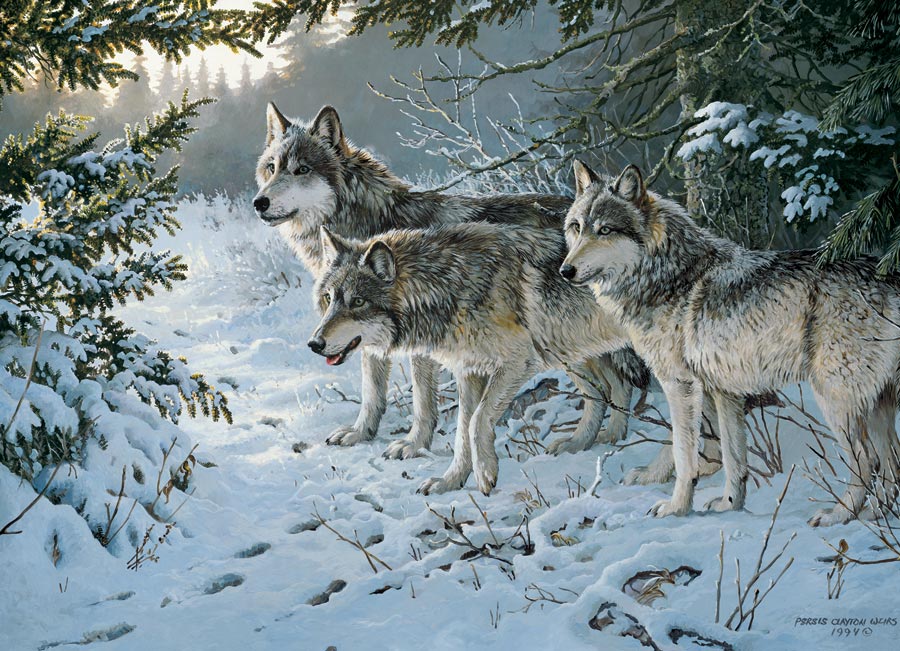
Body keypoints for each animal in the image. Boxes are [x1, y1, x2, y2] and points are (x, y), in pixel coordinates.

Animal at [253, 103, 641, 458]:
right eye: (272, 168)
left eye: (301, 170)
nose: (259, 202)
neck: (376, 224)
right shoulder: (369, 335)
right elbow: (372, 392)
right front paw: (361, 434)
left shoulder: (420, 343)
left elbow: (422, 401)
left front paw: (414, 445)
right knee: (616, 384)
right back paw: (607, 439)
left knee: (613, 384)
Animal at [306, 223, 649, 494]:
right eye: (329, 299)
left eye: (358, 302)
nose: (314, 343)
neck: (448, 287)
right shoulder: (469, 371)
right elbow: (462, 431)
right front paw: (450, 482)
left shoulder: (515, 364)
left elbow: (475, 422)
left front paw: (485, 475)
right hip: (567, 351)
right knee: (609, 389)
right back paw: (590, 441)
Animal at [560, 160, 900, 525]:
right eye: (577, 227)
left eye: (605, 230)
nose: (565, 270)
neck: (669, 276)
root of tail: (889, 275)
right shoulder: (724, 392)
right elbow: (732, 456)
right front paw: (729, 503)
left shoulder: (681, 385)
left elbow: (683, 451)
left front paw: (676, 507)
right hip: (875, 403)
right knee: (892, 461)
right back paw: (877, 516)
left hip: (835, 400)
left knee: (869, 460)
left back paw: (840, 515)